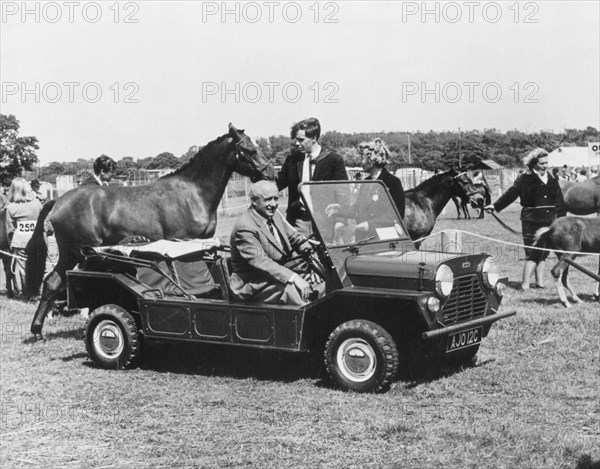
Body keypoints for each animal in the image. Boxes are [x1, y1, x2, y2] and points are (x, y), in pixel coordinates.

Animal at [27, 123, 272, 336]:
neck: (192, 193)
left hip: (70, 254)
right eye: (250, 149)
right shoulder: (182, 243)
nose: (270, 174)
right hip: (82, 254)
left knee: (51, 282)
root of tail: (58, 201)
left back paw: (38, 331)